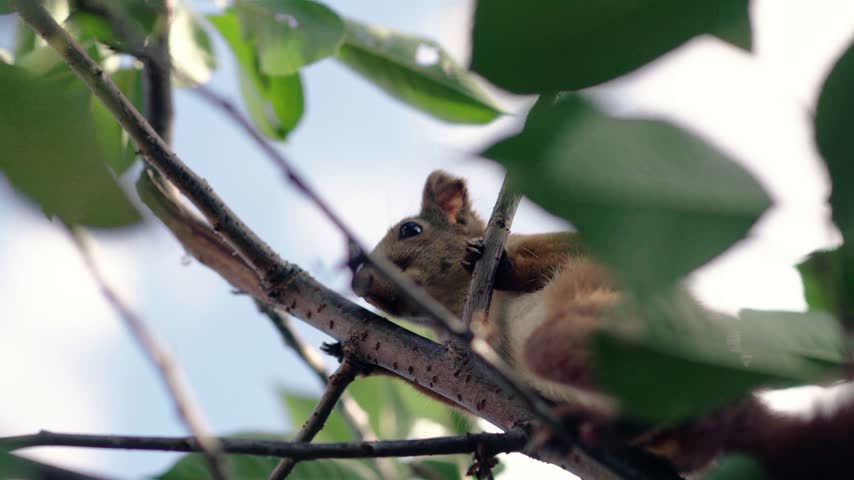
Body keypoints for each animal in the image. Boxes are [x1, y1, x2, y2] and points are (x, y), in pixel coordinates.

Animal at [351, 170, 854, 478]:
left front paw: (501, 267)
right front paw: (362, 361)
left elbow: (561, 252)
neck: (454, 307)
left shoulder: (566, 246)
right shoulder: (448, 360)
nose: (358, 282)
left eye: (410, 230)